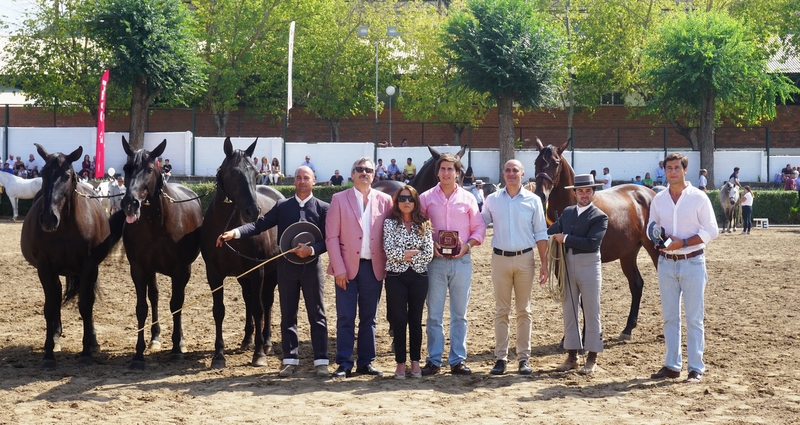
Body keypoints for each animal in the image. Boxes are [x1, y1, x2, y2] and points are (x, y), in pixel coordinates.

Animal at [21, 143, 125, 368]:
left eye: (67, 175)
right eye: (43, 173)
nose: (48, 218)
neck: (66, 226)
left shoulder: (88, 267)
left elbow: (86, 305)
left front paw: (86, 351)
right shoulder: (45, 269)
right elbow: (50, 307)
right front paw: (48, 354)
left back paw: (93, 341)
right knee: (55, 297)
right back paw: (55, 337)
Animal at [121, 136, 205, 368]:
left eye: (150, 169)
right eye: (126, 168)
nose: (129, 203)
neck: (157, 223)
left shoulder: (179, 270)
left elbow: (176, 304)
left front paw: (176, 348)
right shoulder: (139, 270)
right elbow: (142, 308)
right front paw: (138, 354)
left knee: (179, 300)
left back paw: (181, 342)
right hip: (151, 272)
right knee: (155, 297)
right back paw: (155, 338)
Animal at [198, 137, 282, 368]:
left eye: (256, 173)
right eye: (234, 173)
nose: (253, 211)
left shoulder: (257, 270)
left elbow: (258, 308)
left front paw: (259, 354)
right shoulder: (214, 274)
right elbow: (219, 310)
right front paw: (218, 355)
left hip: (270, 272)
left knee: (266, 302)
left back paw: (267, 342)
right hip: (244, 277)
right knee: (247, 299)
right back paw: (247, 340)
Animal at [536, 139, 660, 342]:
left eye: (556, 162)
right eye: (536, 162)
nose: (541, 194)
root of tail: (650, 193)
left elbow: (585, 299)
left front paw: (586, 335)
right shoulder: (560, 264)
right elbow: (571, 297)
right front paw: (568, 338)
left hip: (654, 249)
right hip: (628, 253)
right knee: (636, 284)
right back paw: (628, 328)